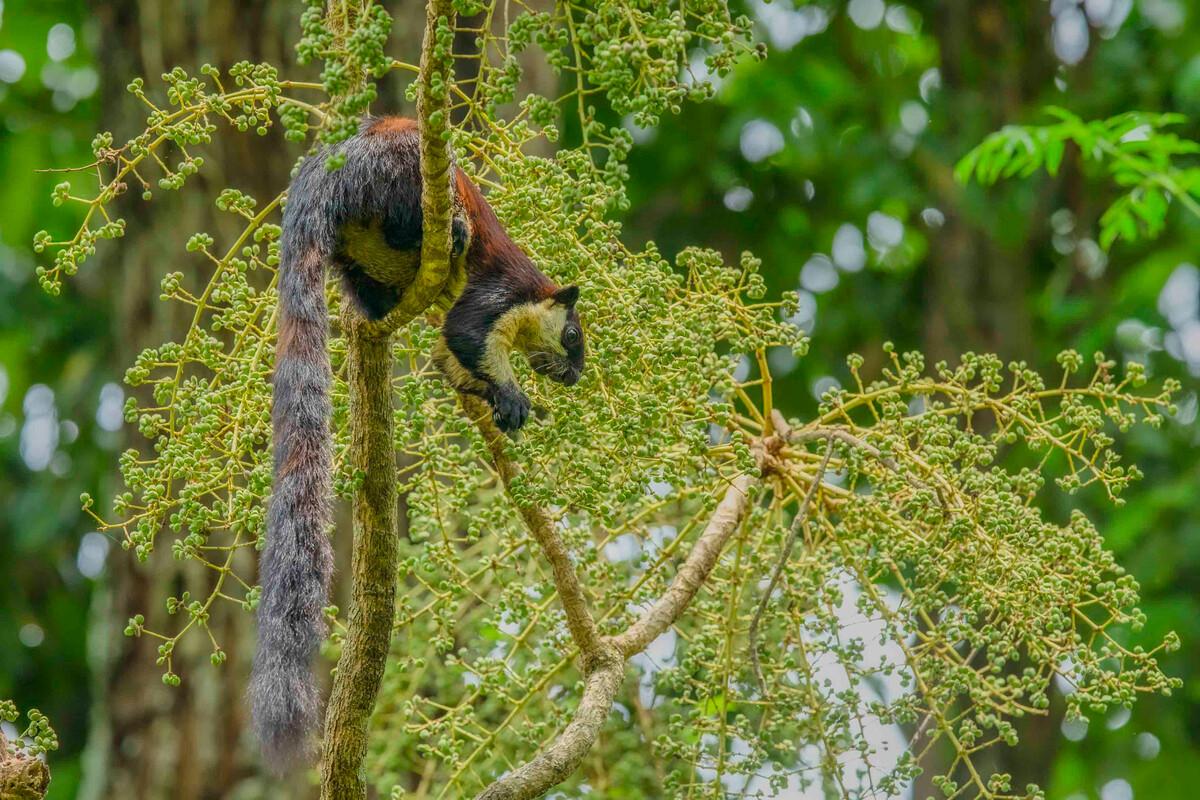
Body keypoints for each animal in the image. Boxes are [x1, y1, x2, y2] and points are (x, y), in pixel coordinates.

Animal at [252, 115, 585, 767]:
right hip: (404, 180)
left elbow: (450, 358)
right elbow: (465, 335)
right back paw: (452, 230)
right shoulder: (496, 294)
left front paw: (492, 397)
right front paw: (511, 398)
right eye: (575, 336)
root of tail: (338, 156)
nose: (577, 375)